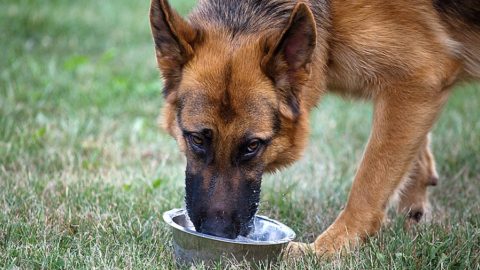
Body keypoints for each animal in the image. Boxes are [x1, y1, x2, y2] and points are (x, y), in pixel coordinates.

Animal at [148, 0, 478, 256]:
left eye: (253, 146)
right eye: (196, 139)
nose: (216, 233)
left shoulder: (418, 79)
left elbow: (369, 183)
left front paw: (326, 251)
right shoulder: (415, 95)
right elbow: (408, 154)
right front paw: (414, 201)